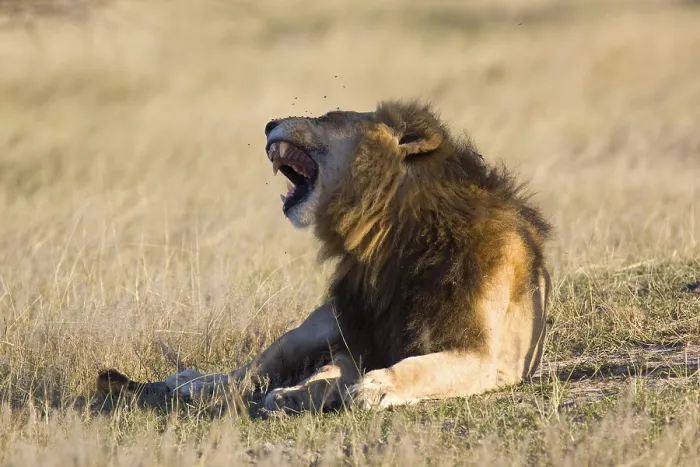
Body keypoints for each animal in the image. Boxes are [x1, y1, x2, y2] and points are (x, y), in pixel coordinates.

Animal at [101, 100, 552, 413]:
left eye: (329, 115)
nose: (268, 124)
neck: (393, 237)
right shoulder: (360, 334)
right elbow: (331, 368)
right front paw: (299, 392)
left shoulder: (487, 354)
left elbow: (421, 365)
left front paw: (375, 386)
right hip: (314, 327)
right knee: (247, 371)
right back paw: (195, 383)